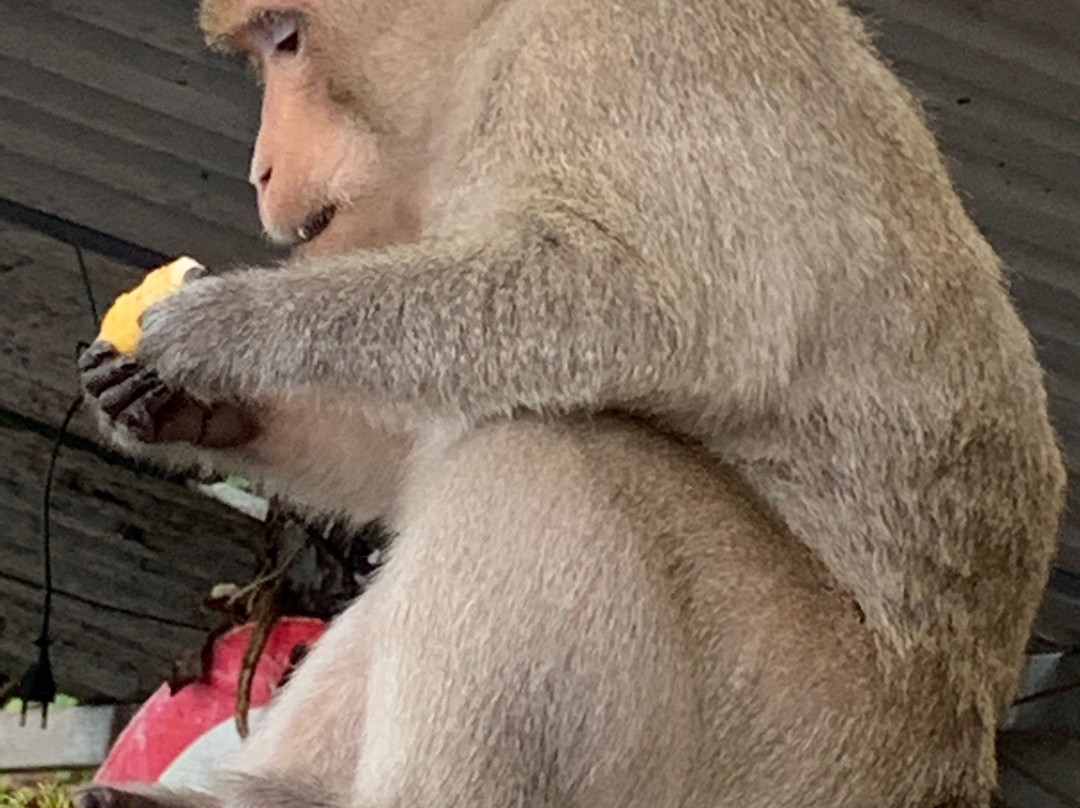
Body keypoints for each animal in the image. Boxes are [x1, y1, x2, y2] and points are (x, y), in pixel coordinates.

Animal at [75, 0, 1065, 806]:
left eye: (287, 40)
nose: (262, 169)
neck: (490, 34)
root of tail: (953, 761)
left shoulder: (607, 51)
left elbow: (655, 305)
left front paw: (225, 329)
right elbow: (408, 446)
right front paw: (192, 410)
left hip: (798, 737)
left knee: (545, 455)